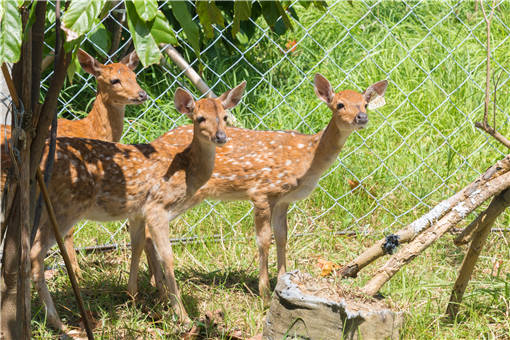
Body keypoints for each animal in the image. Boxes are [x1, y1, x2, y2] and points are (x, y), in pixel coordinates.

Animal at [0, 48, 147, 276]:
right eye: (114, 80)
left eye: (134, 76)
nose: (142, 94)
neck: (89, 130)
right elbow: (67, 232)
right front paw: (76, 273)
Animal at [28, 81, 248, 330]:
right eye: (200, 118)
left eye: (225, 116)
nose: (221, 137)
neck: (186, 170)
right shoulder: (157, 208)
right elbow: (167, 257)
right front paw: (182, 316)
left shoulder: (137, 212)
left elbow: (137, 246)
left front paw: (133, 297)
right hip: (64, 207)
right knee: (35, 253)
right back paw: (56, 321)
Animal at [143, 73, 386, 300]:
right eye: (340, 104)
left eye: (364, 103)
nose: (362, 117)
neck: (308, 157)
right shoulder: (261, 191)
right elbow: (263, 240)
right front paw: (264, 294)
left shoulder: (283, 200)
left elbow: (282, 236)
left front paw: (282, 281)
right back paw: (159, 288)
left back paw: (155, 286)